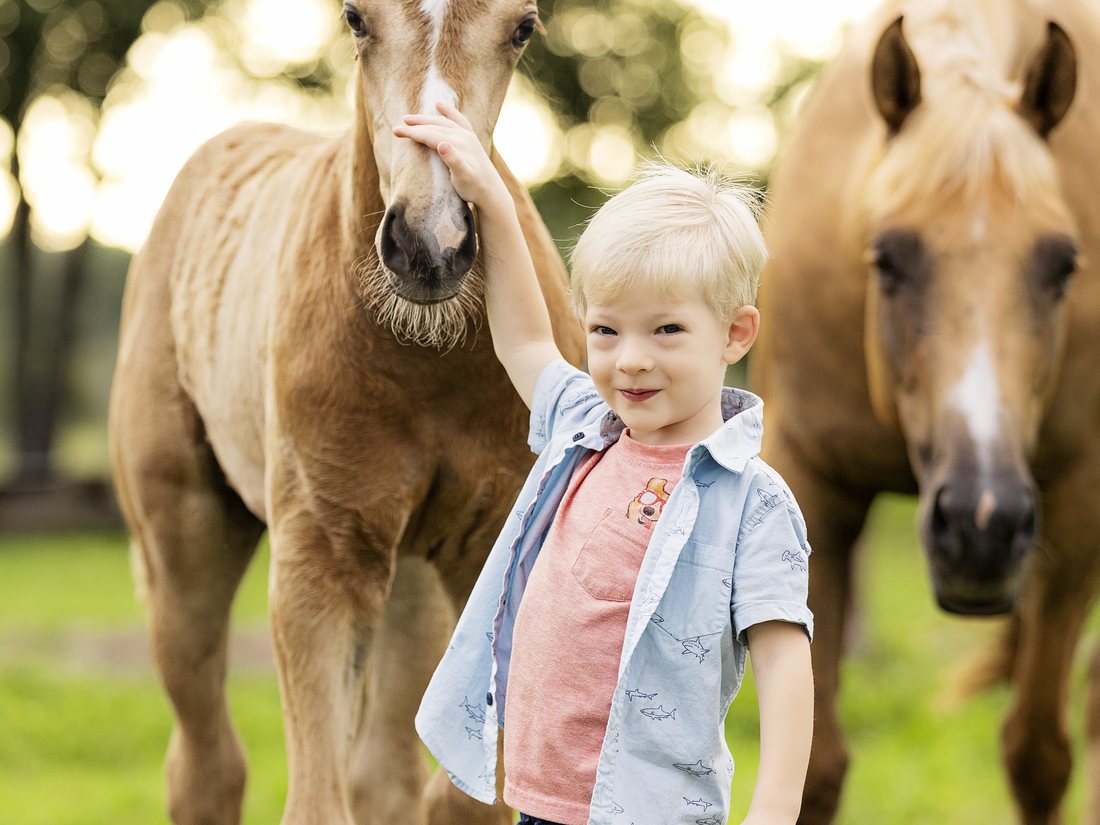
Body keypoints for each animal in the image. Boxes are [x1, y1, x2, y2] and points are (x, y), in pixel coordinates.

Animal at [107, 1, 584, 823]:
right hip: (185, 544)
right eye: (356, 19)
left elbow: (468, 796)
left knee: (381, 773)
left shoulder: (489, 552)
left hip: (410, 577)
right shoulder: (321, 561)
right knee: (206, 768)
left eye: (523, 26)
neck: (429, 358)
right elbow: (317, 802)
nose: (431, 244)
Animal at [751, 1, 1100, 822]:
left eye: (1064, 263)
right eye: (886, 256)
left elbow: (1037, 754)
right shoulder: (812, 489)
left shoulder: (1075, 505)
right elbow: (814, 768)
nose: (982, 523)